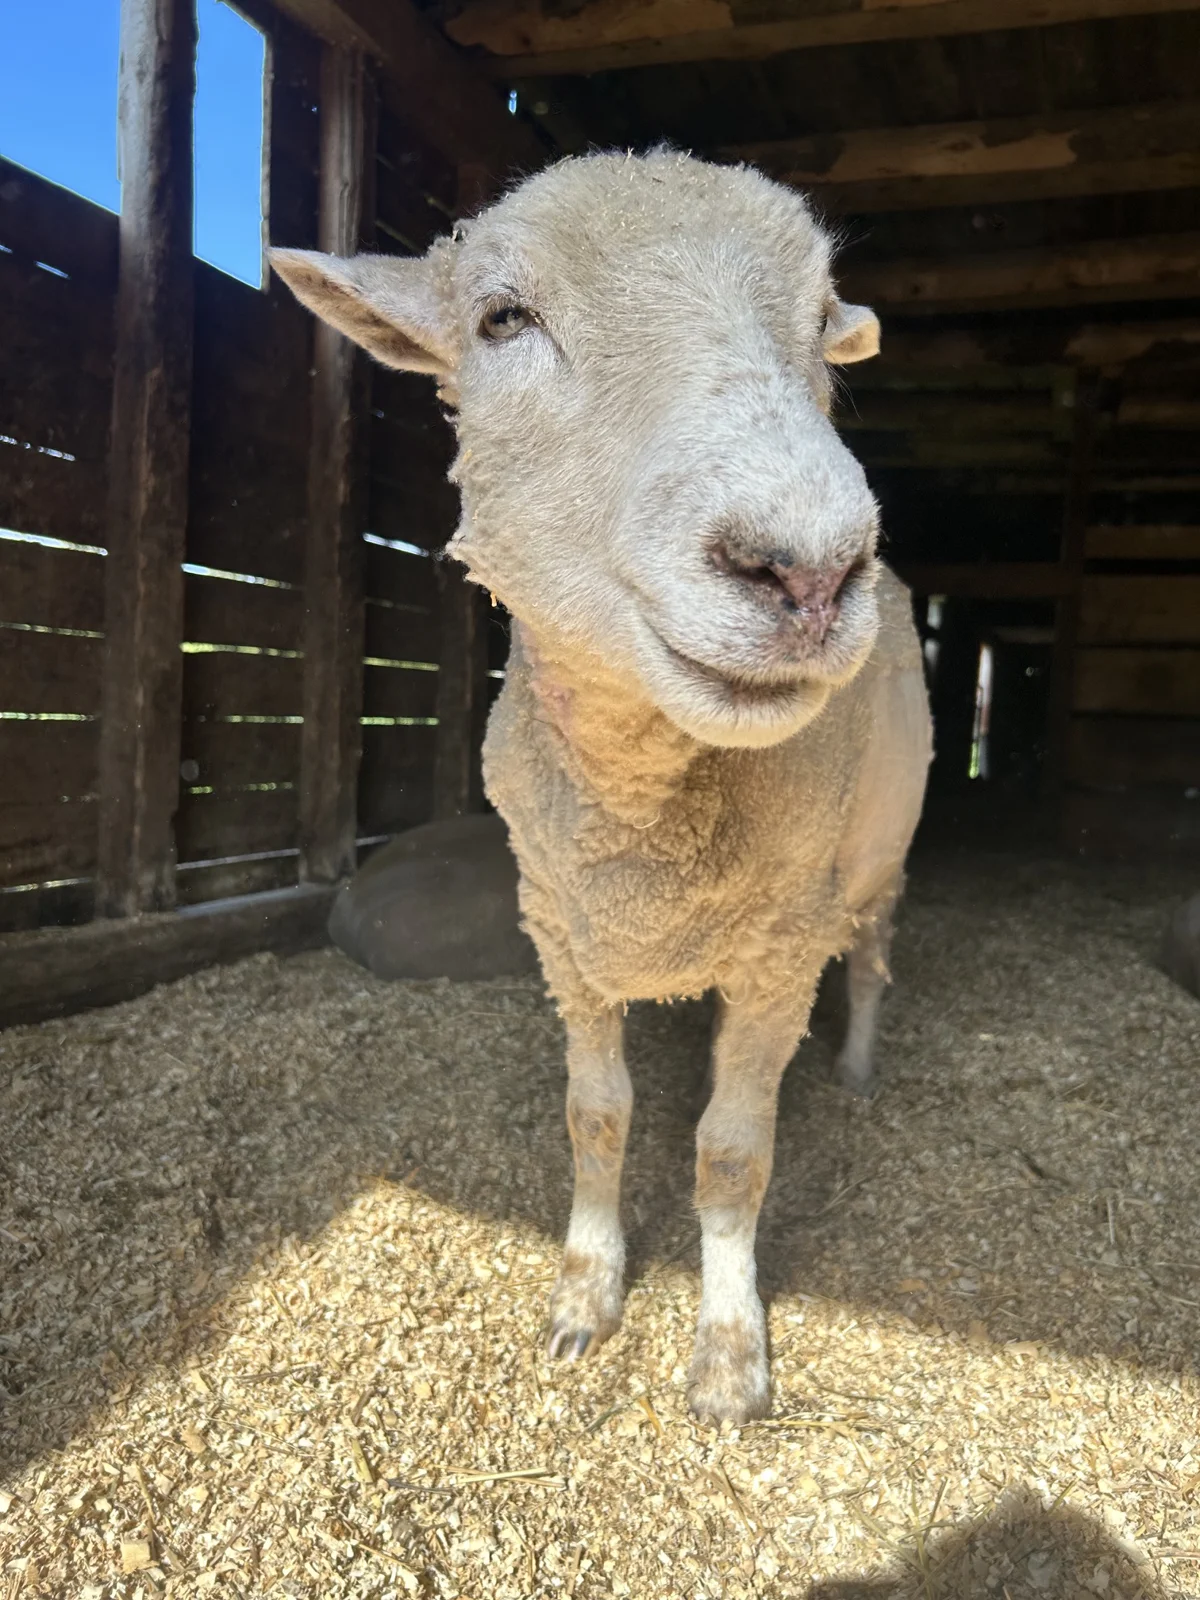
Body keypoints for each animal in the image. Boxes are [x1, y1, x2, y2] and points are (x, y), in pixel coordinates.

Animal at [270, 149, 933, 1425]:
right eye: (502, 318)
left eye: (824, 326)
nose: (809, 569)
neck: (646, 786)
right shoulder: (562, 929)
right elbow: (597, 1115)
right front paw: (585, 1293)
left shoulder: (781, 945)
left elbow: (732, 1149)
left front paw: (727, 1349)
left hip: (877, 865)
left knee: (874, 965)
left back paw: (859, 1069)